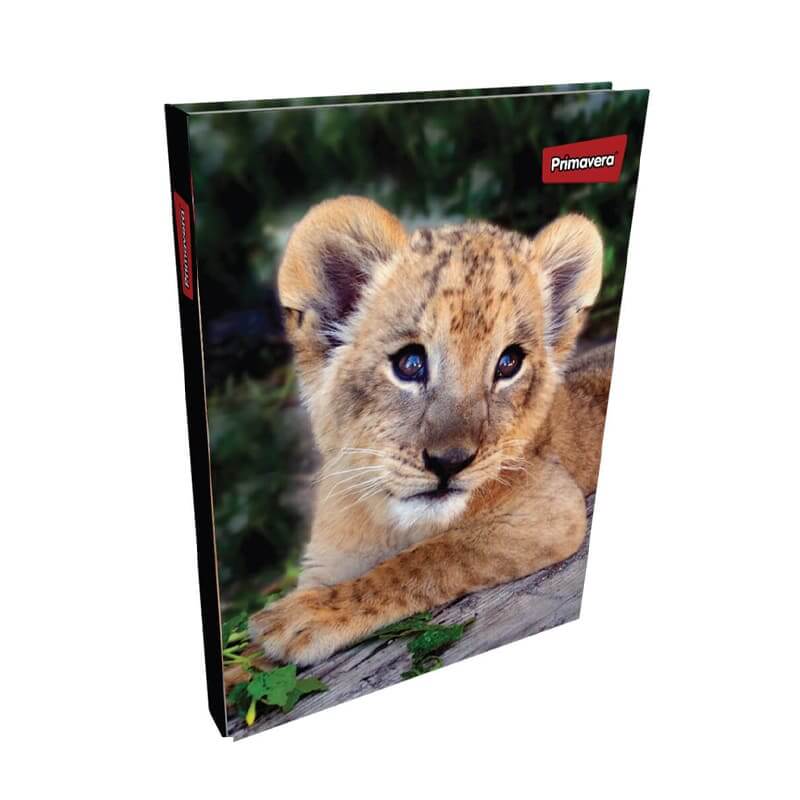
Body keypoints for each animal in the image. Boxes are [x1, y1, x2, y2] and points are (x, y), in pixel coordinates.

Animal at [248, 195, 612, 666]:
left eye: (508, 363)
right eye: (410, 363)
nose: (449, 463)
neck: (385, 518)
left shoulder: (550, 509)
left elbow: (428, 556)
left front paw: (308, 615)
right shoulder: (326, 561)